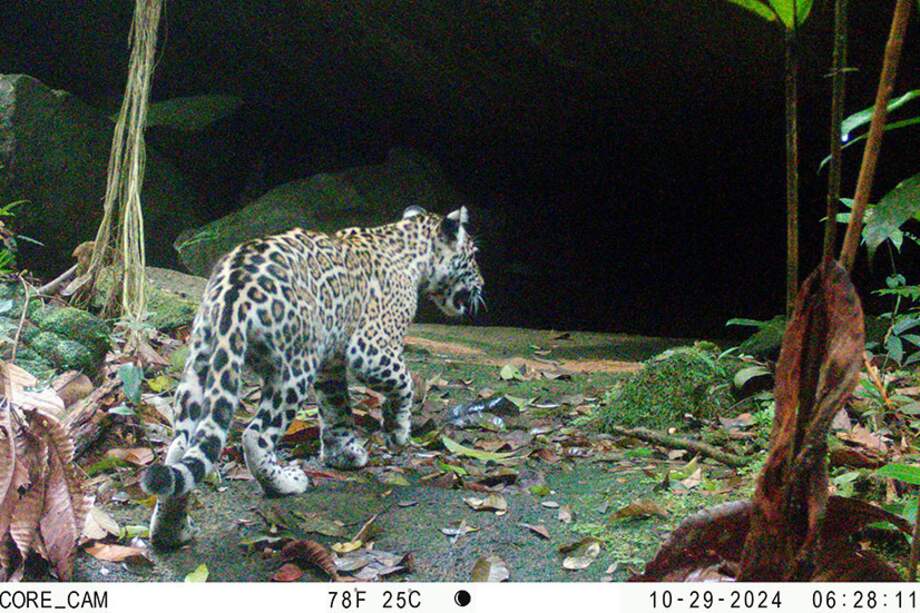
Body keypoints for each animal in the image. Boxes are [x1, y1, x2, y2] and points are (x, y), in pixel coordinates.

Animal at [141, 206, 484, 549]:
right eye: (473, 255)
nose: (482, 284)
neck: (412, 252)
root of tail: (234, 289)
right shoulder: (370, 350)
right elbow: (404, 381)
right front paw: (397, 431)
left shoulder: (330, 363)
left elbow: (337, 409)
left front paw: (343, 453)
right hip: (293, 370)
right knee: (254, 435)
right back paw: (286, 483)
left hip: (203, 363)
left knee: (182, 446)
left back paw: (171, 531)